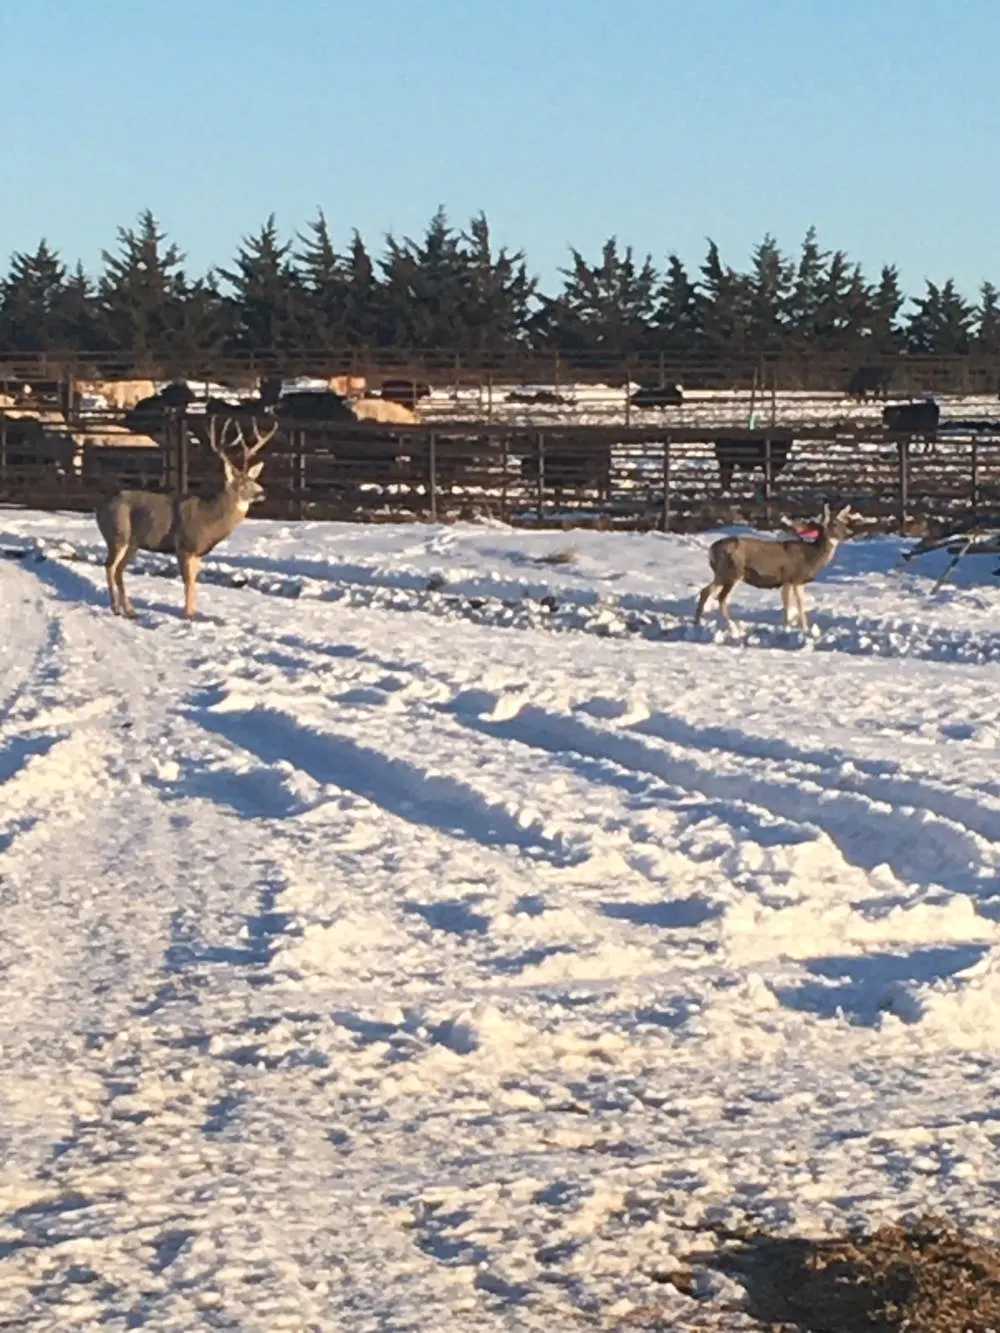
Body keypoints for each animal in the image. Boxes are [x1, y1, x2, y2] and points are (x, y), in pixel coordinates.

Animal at [95, 415, 277, 620]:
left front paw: (193, 612)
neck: (209, 518)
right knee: (110, 566)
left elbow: (194, 582)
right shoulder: (183, 546)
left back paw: (129, 610)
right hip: (118, 534)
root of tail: (99, 507)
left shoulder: (198, 553)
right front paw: (188, 615)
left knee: (118, 570)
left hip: (133, 542)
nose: (262, 493)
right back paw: (116, 608)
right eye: (242, 484)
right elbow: (187, 583)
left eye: (253, 480)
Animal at [694, 503, 853, 631]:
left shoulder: (794, 581)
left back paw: (697, 622)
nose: (849, 533)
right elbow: (793, 604)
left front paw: (800, 627)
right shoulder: (791, 578)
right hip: (733, 572)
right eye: (834, 524)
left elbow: (796, 604)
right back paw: (735, 625)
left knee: (705, 591)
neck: (811, 557)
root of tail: (711, 550)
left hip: (721, 573)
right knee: (721, 598)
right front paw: (795, 627)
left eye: (844, 522)